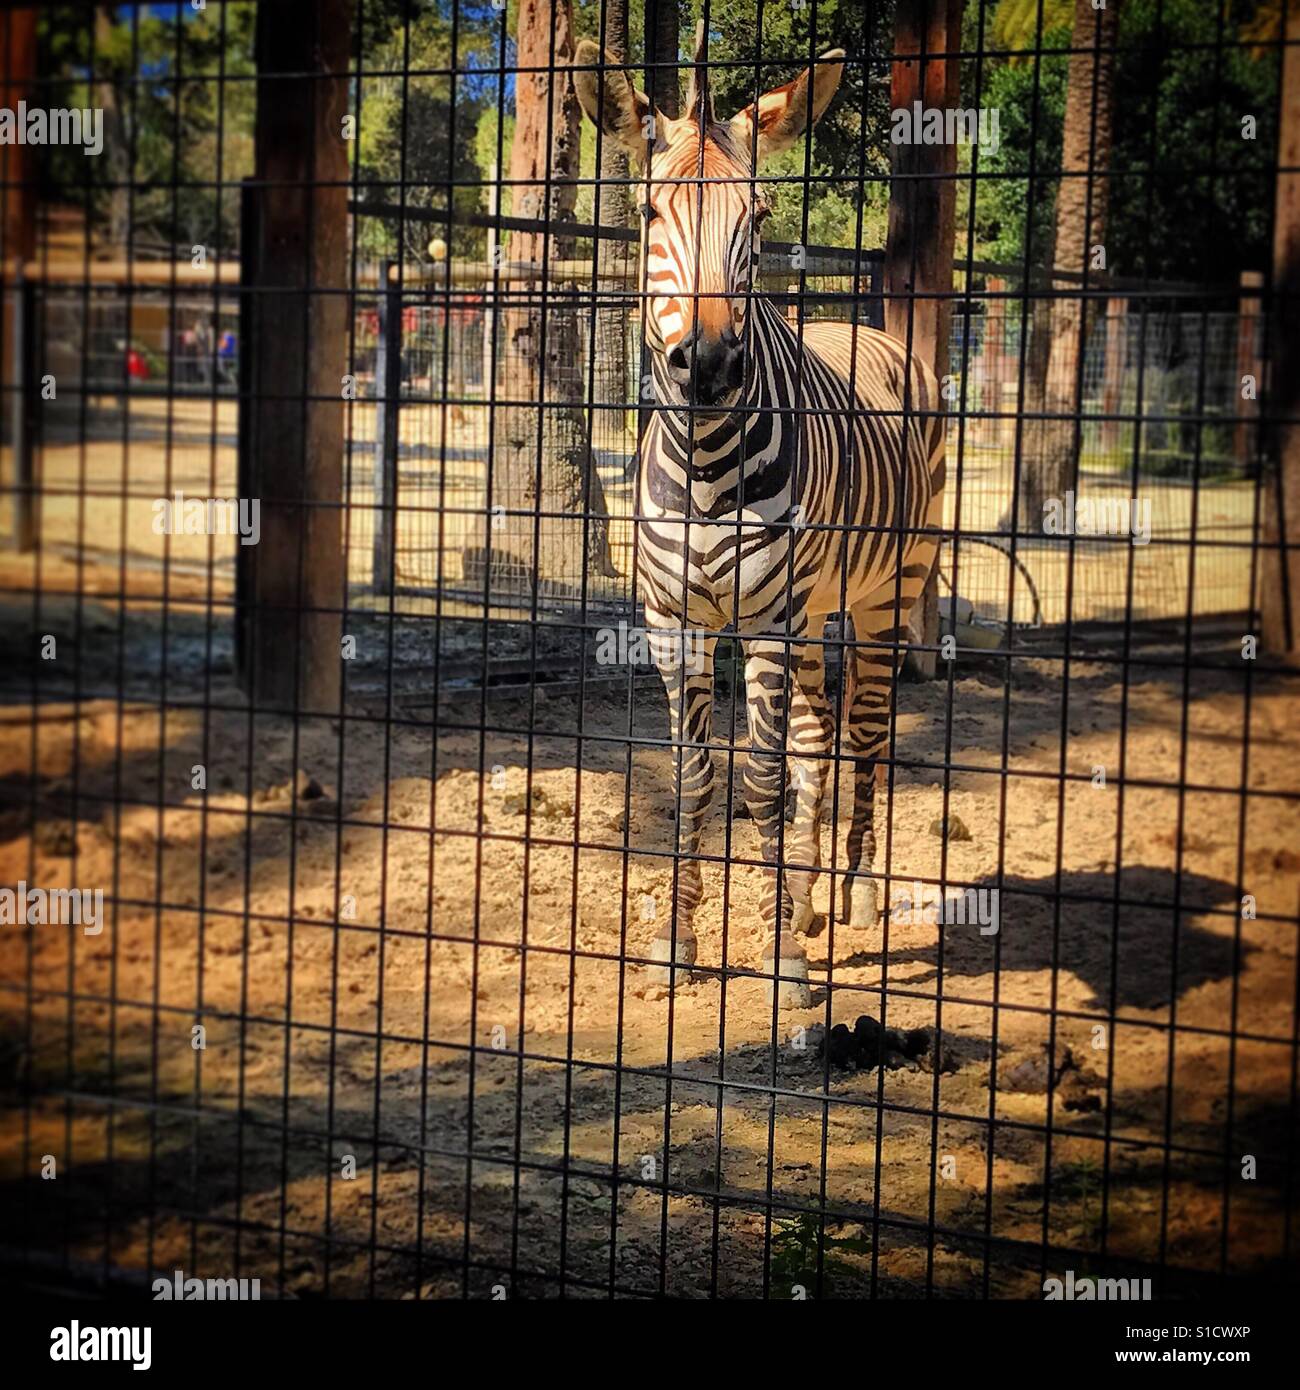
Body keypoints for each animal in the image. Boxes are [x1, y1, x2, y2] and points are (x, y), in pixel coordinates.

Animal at [574, 35, 946, 1008]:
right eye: (647, 210)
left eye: (762, 212)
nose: (705, 363)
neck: (706, 462)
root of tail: (872, 330)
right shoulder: (675, 623)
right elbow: (699, 778)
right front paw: (679, 943)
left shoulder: (769, 620)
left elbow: (764, 779)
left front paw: (781, 959)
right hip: (816, 615)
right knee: (819, 737)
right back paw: (809, 899)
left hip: (887, 592)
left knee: (865, 731)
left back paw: (852, 893)